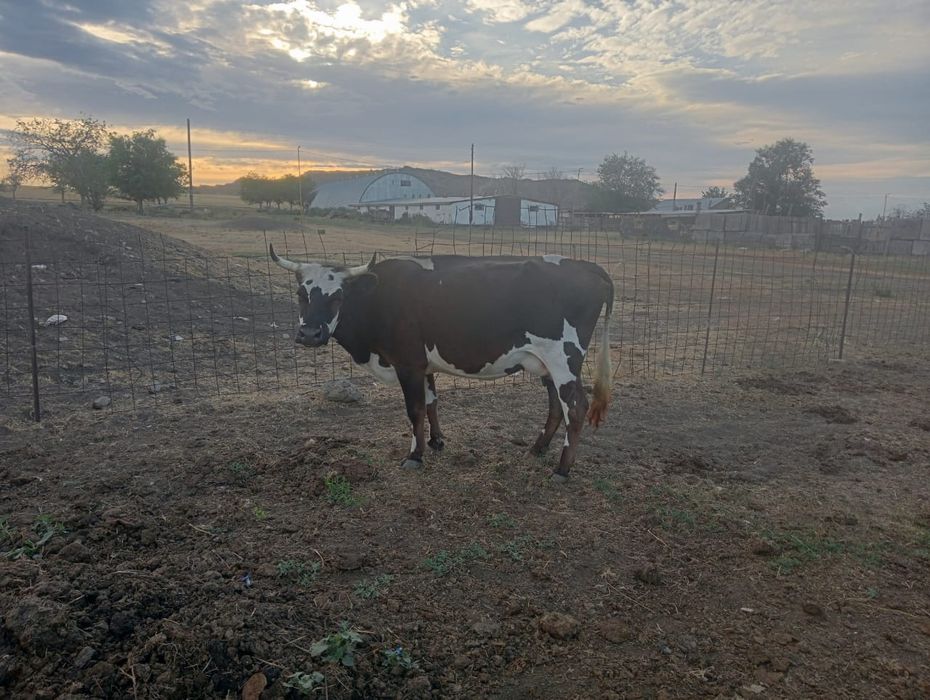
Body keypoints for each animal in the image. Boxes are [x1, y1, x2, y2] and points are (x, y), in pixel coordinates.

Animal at [270, 246, 614, 480]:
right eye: (301, 294)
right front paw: (436, 442)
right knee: (556, 406)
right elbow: (432, 403)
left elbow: (415, 410)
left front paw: (415, 455)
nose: (309, 334)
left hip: (563, 359)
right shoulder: (424, 365)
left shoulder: (408, 364)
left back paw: (561, 469)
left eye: (337, 296)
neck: (379, 296)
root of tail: (587, 266)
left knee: (575, 407)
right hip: (545, 363)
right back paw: (537, 449)